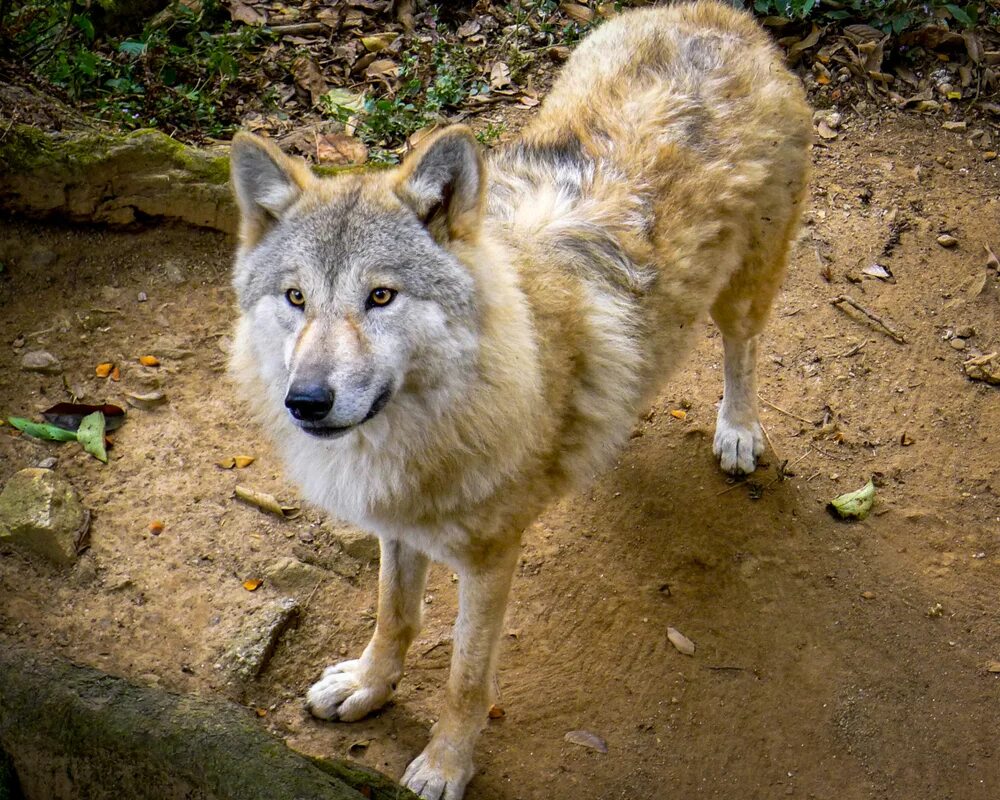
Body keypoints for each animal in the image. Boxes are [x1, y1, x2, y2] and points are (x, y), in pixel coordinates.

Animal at [229, 3, 812, 796]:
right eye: (295, 298)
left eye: (381, 297)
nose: (307, 402)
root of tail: (718, 18)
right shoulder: (397, 527)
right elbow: (394, 617)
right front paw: (369, 687)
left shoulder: (489, 559)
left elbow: (466, 679)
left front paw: (446, 764)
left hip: (745, 289)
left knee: (742, 350)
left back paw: (739, 431)